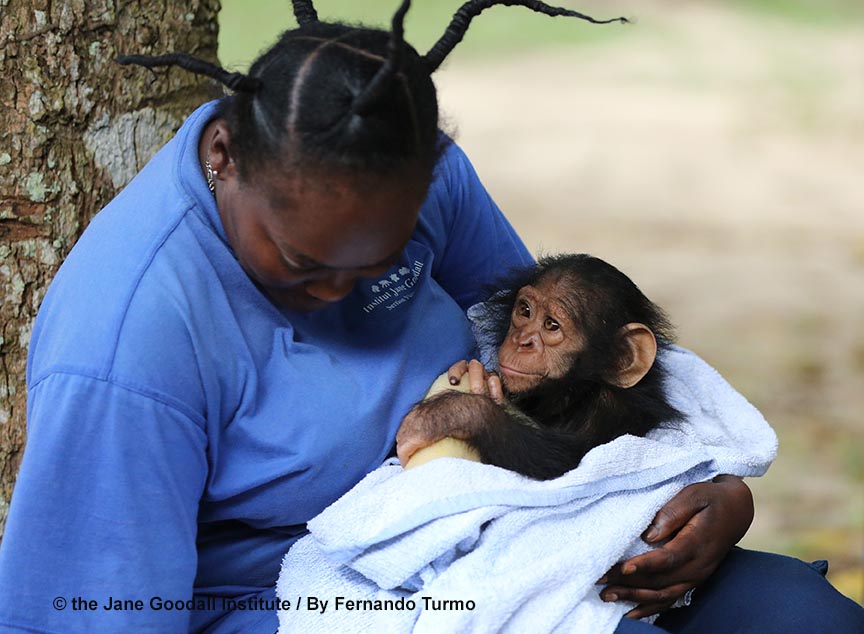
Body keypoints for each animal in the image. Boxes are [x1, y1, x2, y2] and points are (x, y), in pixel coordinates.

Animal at [396, 253, 685, 480]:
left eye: (551, 325)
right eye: (525, 311)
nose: (522, 341)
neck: (573, 393)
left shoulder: (610, 411)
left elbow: (570, 459)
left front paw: (450, 413)